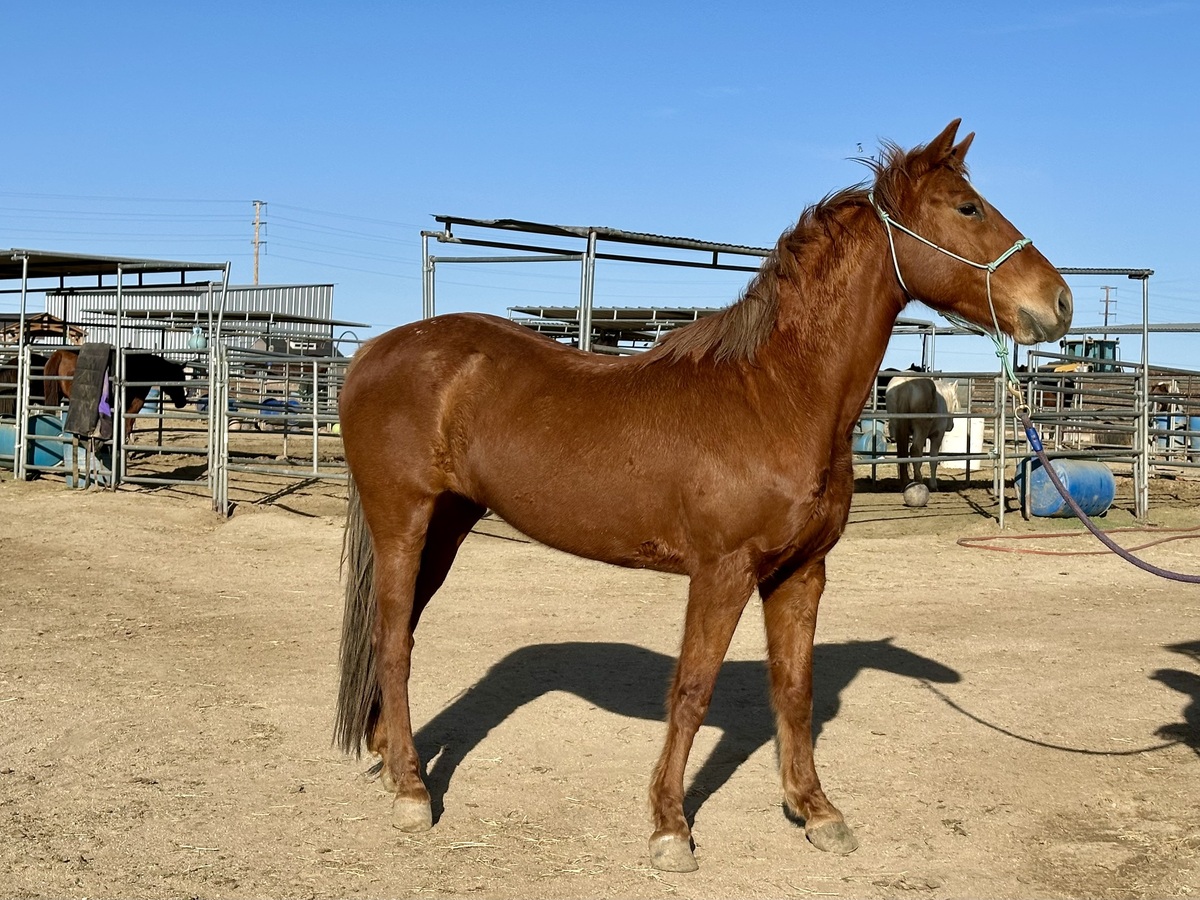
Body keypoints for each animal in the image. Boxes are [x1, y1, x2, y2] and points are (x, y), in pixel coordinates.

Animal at [334, 119, 1073, 873]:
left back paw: (389, 758)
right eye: (967, 208)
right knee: (392, 642)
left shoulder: (801, 573)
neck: (775, 394)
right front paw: (670, 826)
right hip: (403, 521)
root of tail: (372, 353)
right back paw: (412, 792)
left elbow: (795, 691)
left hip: (447, 525)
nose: (1059, 302)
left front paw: (817, 811)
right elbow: (691, 690)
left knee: (399, 633)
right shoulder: (722, 571)